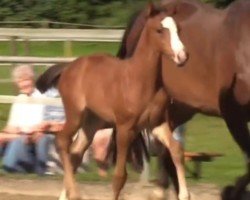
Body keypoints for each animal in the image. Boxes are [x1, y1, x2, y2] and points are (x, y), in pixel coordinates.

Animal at [37, 4, 188, 200]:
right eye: (160, 30)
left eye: (179, 29)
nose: (182, 56)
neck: (140, 80)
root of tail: (69, 67)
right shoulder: (124, 129)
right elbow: (119, 177)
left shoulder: (157, 124)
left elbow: (177, 150)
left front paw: (185, 194)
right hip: (75, 115)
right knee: (62, 141)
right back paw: (75, 192)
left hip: (91, 123)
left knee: (76, 153)